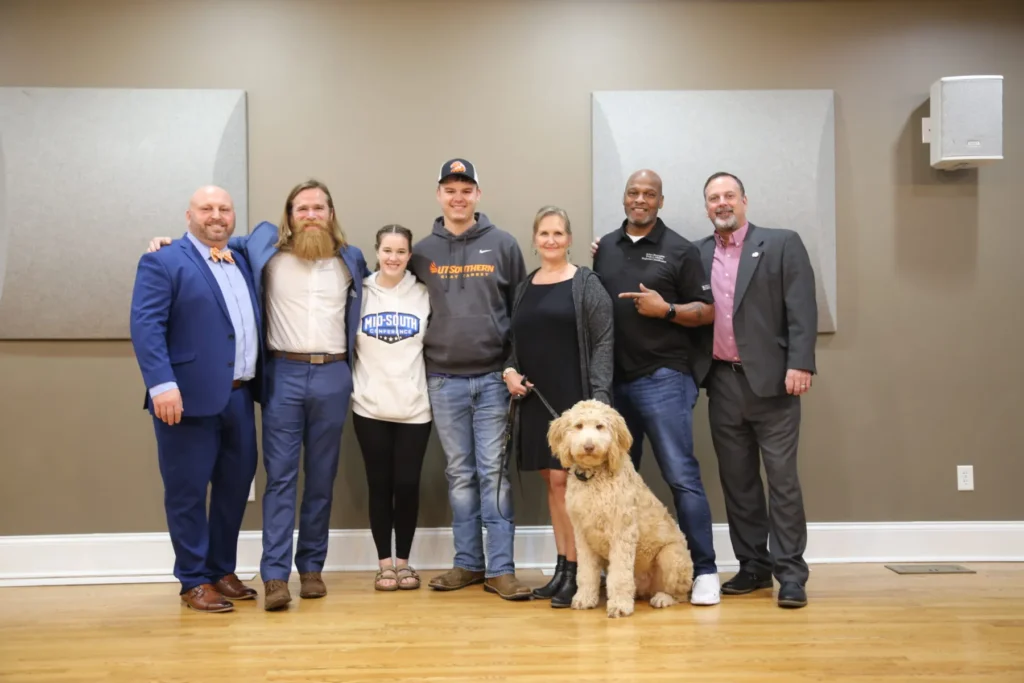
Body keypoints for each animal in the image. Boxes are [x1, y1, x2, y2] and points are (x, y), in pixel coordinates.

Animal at [544, 397, 696, 618]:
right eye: (578, 426)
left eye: (600, 426)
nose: (589, 446)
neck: (594, 478)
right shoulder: (582, 535)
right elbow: (586, 573)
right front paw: (585, 599)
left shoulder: (622, 532)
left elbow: (620, 575)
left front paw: (619, 606)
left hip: (672, 557)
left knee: (680, 594)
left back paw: (663, 598)